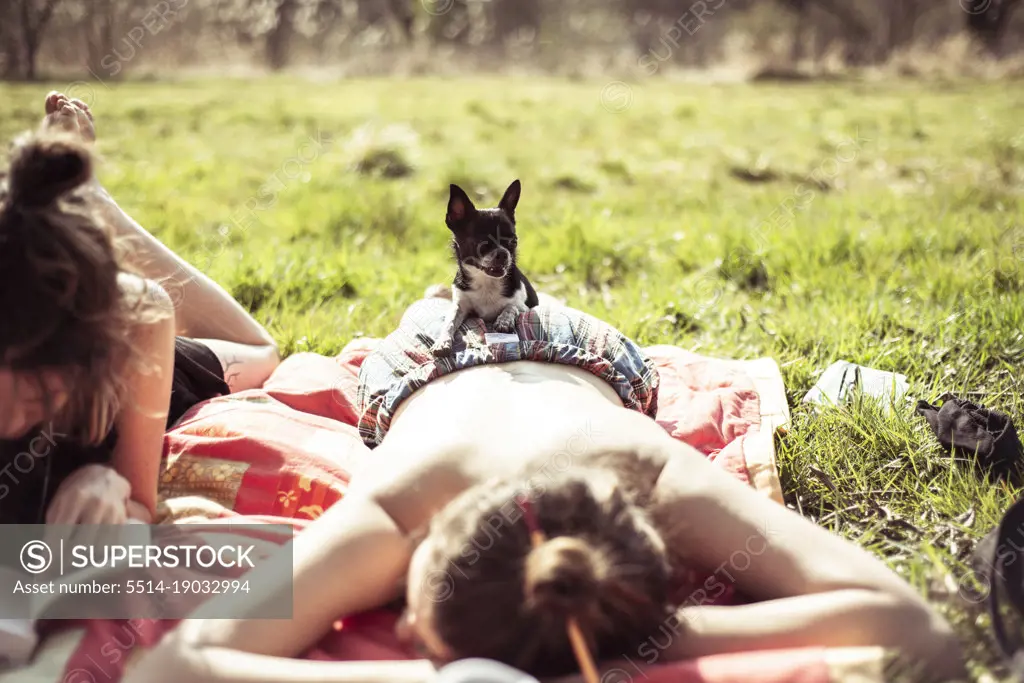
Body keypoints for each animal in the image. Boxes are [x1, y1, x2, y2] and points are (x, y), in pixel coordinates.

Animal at [430, 179, 540, 358]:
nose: (503, 253)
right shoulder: (460, 306)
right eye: (482, 244)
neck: (486, 281)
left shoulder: (524, 306)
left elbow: (511, 306)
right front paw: (442, 341)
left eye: (514, 242)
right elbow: (449, 322)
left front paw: (504, 320)